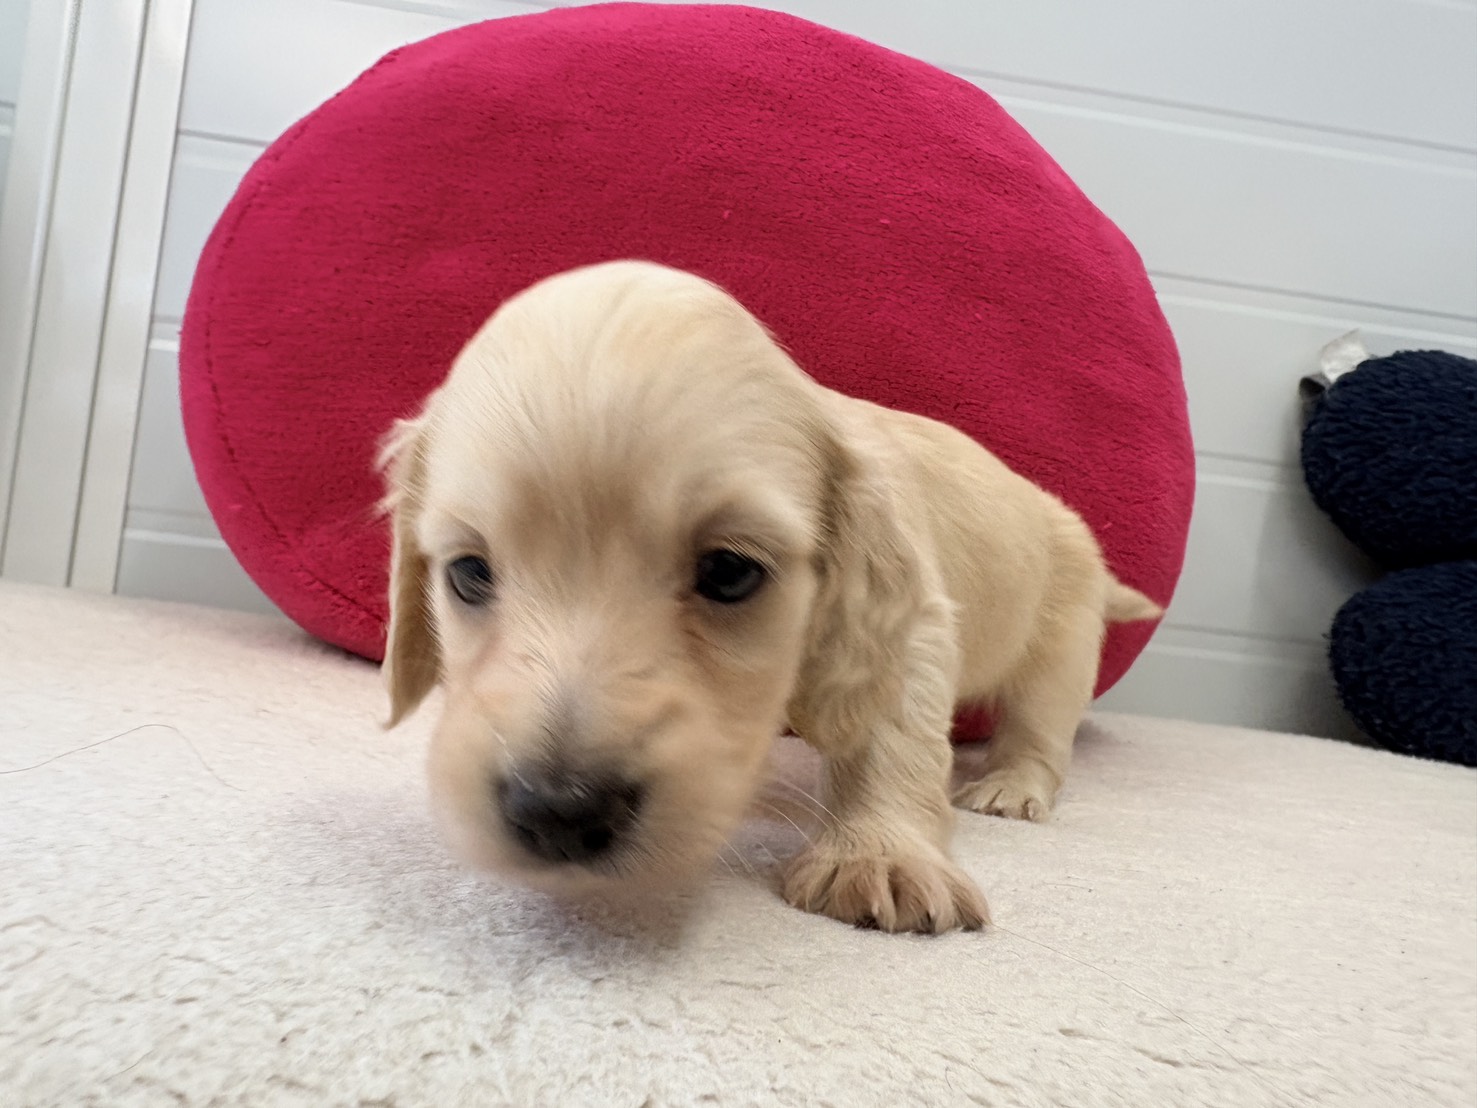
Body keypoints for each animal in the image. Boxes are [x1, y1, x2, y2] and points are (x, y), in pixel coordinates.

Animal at [380, 260, 1161, 933]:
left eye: (730, 572)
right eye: (469, 573)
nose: (558, 813)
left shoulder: (907, 625)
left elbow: (890, 734)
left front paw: (879, 853)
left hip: (1062, 642)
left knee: (1040, 728)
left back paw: (1010, 786)